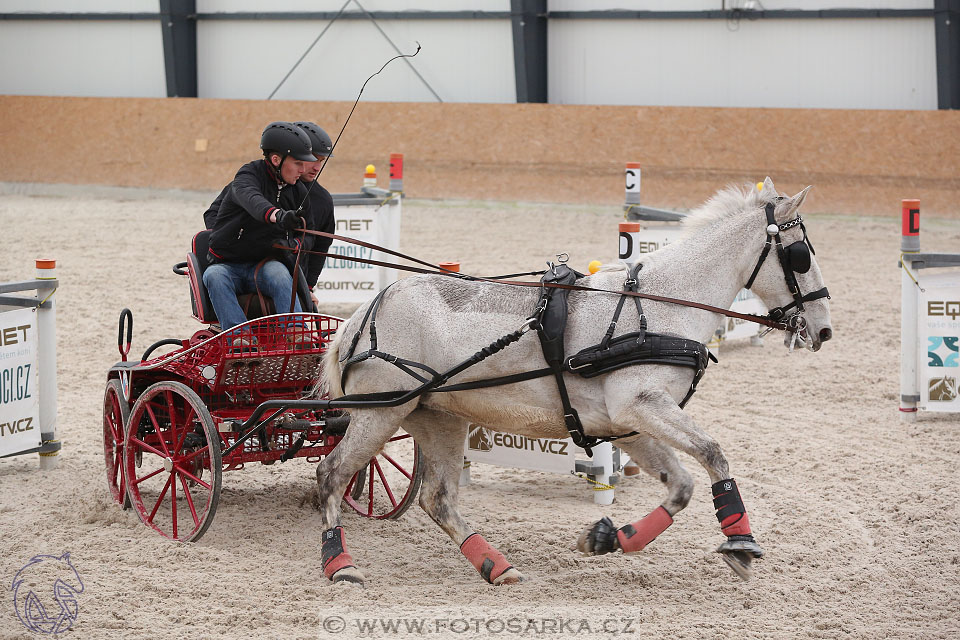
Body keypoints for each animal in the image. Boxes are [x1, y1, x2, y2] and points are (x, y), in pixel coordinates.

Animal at [316, 179, 832, 584]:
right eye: (801, 255)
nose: (824, 329)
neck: (660, 308)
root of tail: (363, 315)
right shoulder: (642, 405)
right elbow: (713, 453)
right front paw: (741, 543)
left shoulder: (628, 424)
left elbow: (682, 486)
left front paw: (609, 537)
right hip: (382, 412)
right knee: (332, 474)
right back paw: (339, 562)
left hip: (437, 417)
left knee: (437, 499)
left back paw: (495, 565)